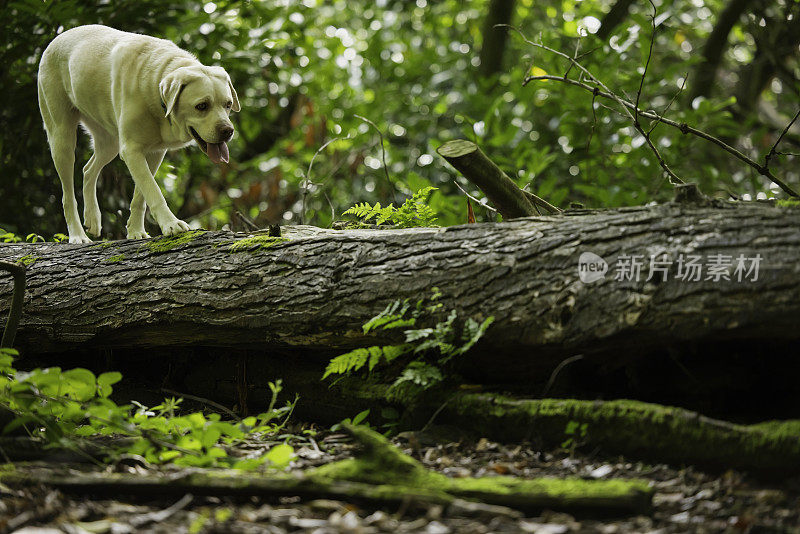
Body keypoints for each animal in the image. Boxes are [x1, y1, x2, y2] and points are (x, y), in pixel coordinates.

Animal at [38, 24, 238, 243]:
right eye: (201, 106)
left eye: (228, 104)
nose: (228, 131)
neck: (156, 88)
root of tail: (58, 38)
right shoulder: (132, 150)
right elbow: (153, 190)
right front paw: (171, 224)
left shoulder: (155, 152)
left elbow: (140, 196)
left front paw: (135, 232)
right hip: (61, 138)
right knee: (67, 195)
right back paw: (77, 235)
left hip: (110, 142)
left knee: (88, 170)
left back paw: (93, 218)